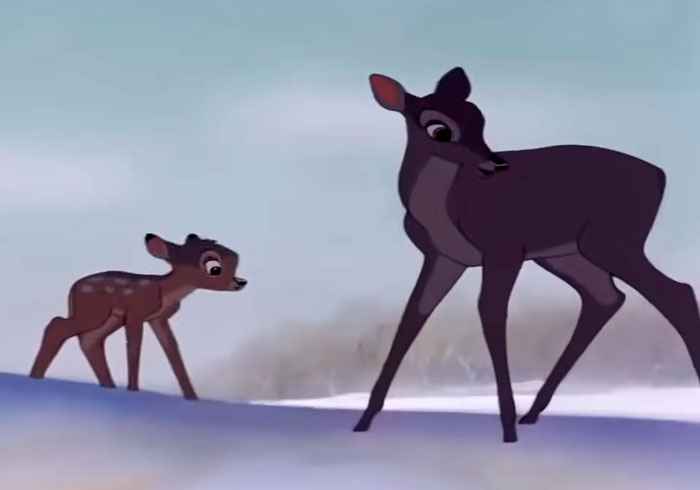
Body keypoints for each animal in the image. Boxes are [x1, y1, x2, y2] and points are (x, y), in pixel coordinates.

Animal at [29, 233, 247, 400]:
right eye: (214, 268)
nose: (241, 282)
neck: (163, 290)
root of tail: (73, 288)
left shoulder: (158, 319)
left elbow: (172, 349)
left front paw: (192, 397)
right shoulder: (136, 313)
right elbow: (134, 347)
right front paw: (133, 390)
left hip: (109, 319)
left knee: (89, 340)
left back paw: (108, 386)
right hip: (93, 314)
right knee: (57, 325)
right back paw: (35, 377)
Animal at [353, 66, 700, 443]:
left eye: (479, 118)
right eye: (439, 129)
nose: (496, 164)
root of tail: (660, 176)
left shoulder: (504, 248)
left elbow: (490, 313)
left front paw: (506, 428)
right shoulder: (444, 257)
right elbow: (413, 315)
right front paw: (364, 420)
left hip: (611, 241)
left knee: (675, 292)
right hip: (566, 254)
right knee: (607, 297)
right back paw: (532, 413)